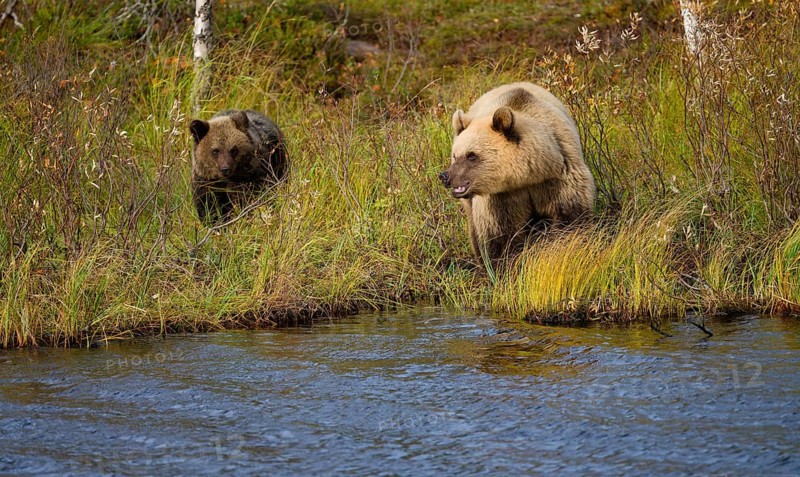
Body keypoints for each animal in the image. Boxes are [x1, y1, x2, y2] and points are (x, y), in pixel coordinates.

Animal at [439, 82, 596, 265]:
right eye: (455, 155)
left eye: (471, 155)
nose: (445, 177)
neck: (526, 176)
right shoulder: (501, 197)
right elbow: (502, 233)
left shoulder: (558, 178)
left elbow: (570, 217)